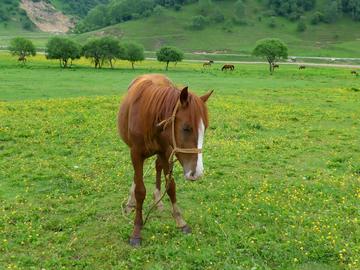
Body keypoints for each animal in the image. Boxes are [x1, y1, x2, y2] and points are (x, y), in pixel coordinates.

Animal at [118, 74, 214, 247]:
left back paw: (158, 198)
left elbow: (171, 187)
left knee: (157, 167)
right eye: (186, 128)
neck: (149, 115)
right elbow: (140, 190)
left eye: (205, 128)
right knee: (137, 177)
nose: (196, 173)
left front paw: (180, 221)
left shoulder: (166, 151)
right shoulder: (135, 154)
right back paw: (131, 202)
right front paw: (136, 230)